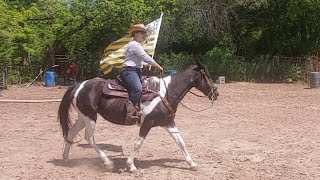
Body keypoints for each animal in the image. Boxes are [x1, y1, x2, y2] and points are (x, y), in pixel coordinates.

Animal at [57, 61, 219, 172]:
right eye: (207, 75)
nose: (215, 93)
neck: (165, 93)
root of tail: (78, 85)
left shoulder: (168, 122)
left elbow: (181, 142)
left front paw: (192, 164)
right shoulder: (147, 123)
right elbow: (138, 143)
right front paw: (131, 165)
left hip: (83, 117)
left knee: (71, 132)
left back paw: (65, 159)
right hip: (90, 117)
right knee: (89, 138)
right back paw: (107, 162)